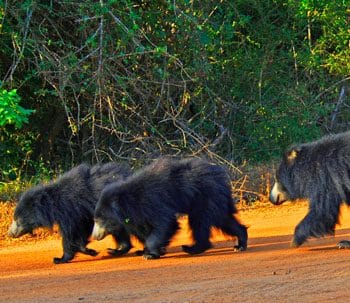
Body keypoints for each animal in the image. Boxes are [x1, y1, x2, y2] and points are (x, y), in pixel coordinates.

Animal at [91, 158, 247, 260]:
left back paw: (192, 248)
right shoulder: (138, 214)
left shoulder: (153, 202)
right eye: (95, 220)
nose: (95, 236)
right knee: (224, 219)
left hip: (206, 197)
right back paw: (240, 243)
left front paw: (149, 254)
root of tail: (221, 176)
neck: (129, 202)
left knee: (201, 222)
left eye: (99, 220)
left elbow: (166, 224)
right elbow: (144, 229)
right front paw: (144, 251)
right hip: (213, 199)